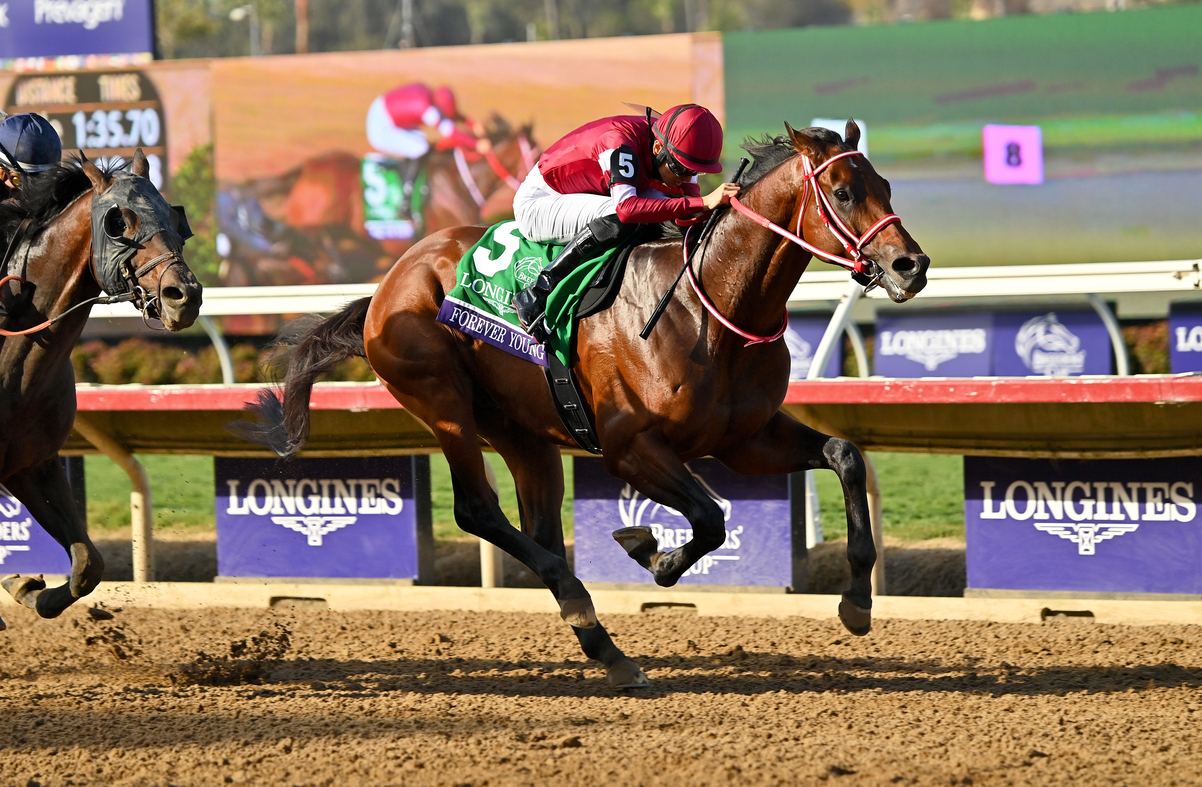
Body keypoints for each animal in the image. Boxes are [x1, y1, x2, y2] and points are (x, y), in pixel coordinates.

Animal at [0, 150, 203, 628]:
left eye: (174, 216)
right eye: (119, 222)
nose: (184, 295)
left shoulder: (31, 462)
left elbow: (88, 564)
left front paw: (27, 588)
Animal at [237, 121, 929, 687]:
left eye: (886, 184)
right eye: (842, 190)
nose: (911, 264)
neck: (708, 307)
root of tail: (386, 285)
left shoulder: (743, 439)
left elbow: (843, 455)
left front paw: (857, 601)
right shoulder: (630, 448)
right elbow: (708, 519)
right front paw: (653, 552)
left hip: (522, 431)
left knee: (537, 528)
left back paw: (602, 645)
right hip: (443, 403)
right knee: (477, 510)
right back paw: (588, 612)